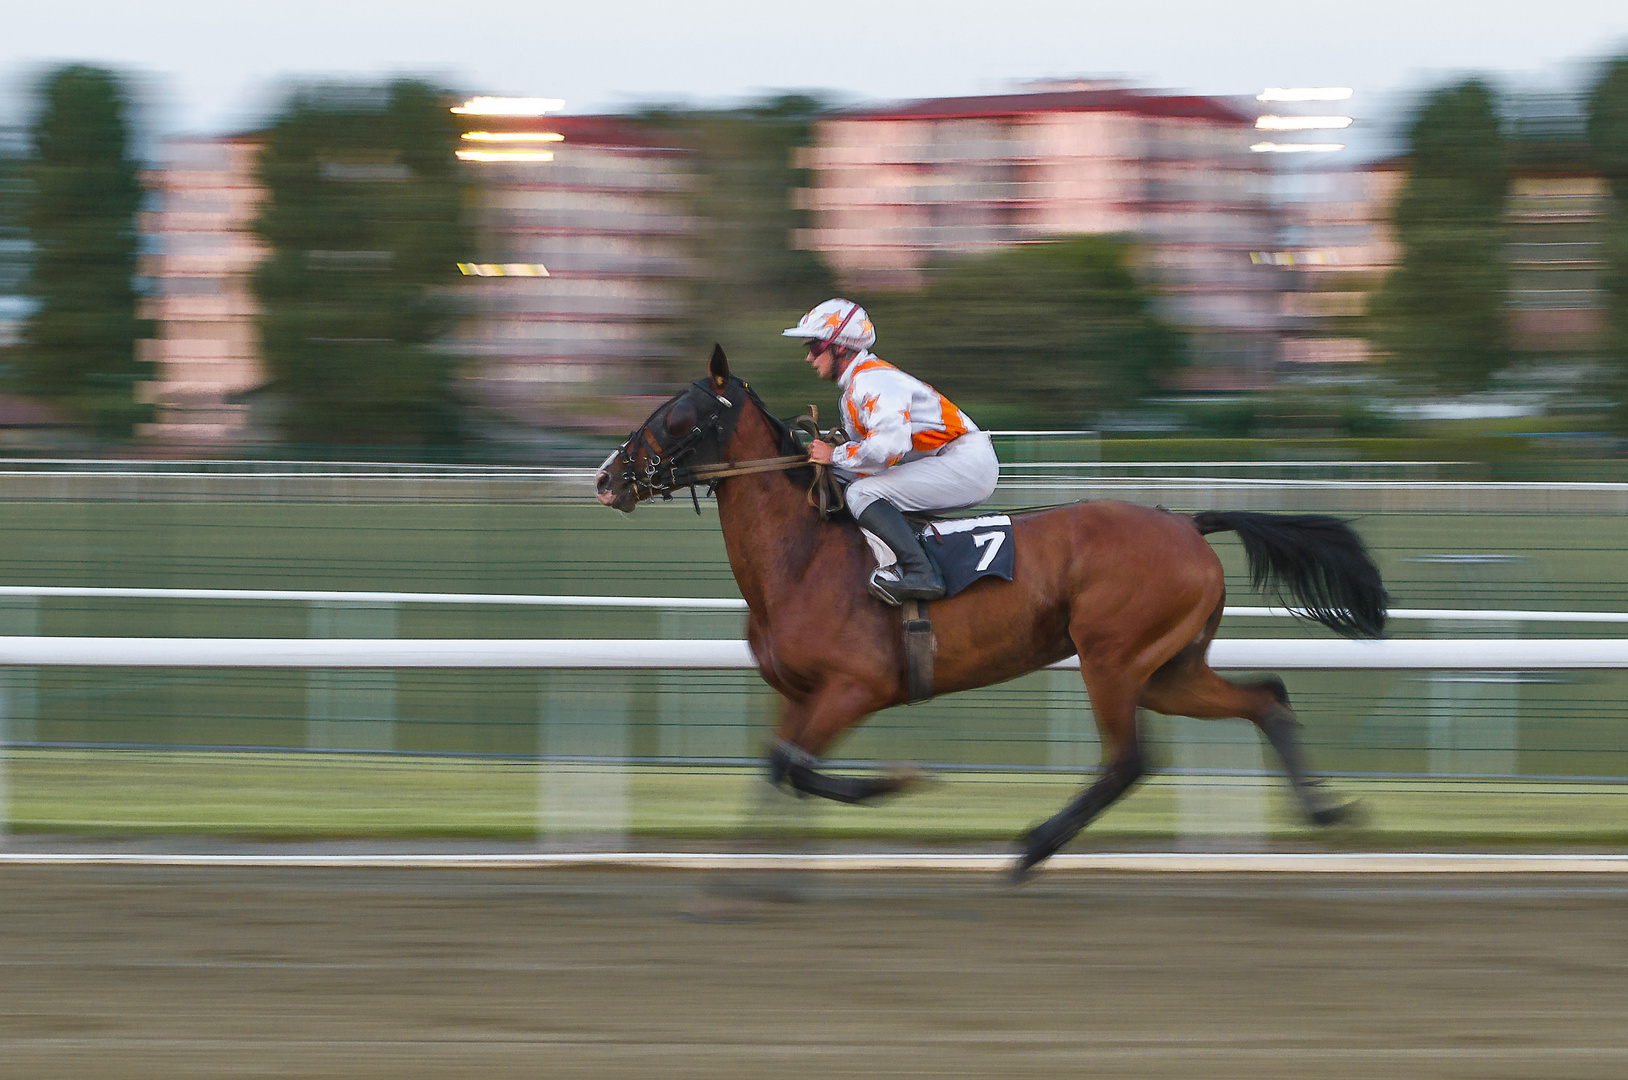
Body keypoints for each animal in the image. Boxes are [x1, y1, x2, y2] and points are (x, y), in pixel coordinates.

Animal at [599, 350, 1387, 886]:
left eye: (675, 412)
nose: (608, 477)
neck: (801, 557)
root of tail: (1187, 522)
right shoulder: (798, 693)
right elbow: (780, 767)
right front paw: (746, 883)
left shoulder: (856, 686)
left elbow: (797, 767)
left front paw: (893, 783)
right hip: (1168, 669)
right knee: (1266, 698)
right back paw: (1325, 811)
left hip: (1111, 657)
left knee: (1127, 760)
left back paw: (1029, 848)